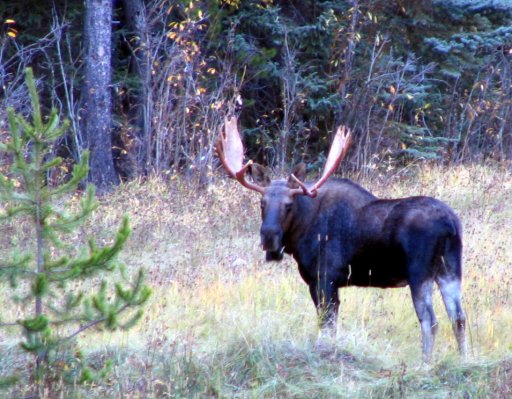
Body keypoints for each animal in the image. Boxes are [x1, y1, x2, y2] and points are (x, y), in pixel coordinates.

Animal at [218, 115, 466, 362]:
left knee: (430, 321)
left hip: (420, 272)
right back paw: (464, 360)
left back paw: (425, 363)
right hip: (449, 269)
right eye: (262, 203)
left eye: (288, 205)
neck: (300, 233)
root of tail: (451, 223)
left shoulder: (323, 278)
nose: (269, 237)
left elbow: (326, 324)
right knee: (459, 318)